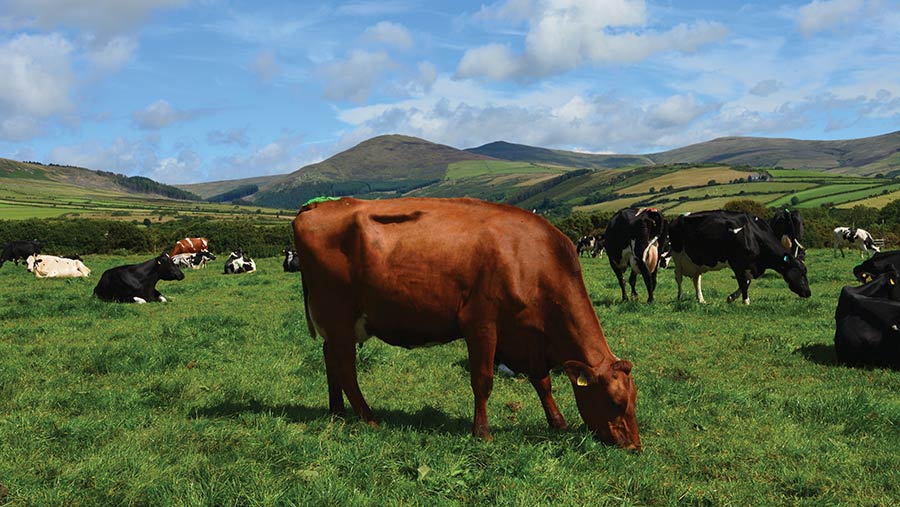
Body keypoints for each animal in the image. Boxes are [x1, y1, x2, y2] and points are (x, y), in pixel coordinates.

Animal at [294, 196, 640, 450]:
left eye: (635, 398)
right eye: (615, 401)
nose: (634, 446)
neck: (530, 258)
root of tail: (318, 207)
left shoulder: (527, 335)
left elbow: (542, 381)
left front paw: (557, 422)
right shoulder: (481, 324)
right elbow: (483, 381)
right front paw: (482, 432)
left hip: (337, 325)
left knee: (331, 359)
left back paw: (338, 412)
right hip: (339, 315)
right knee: (345, 366)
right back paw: (367, 417)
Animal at [668, 210, 808, 306]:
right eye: (801, 273)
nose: (808, 292)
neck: (752, 235)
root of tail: (677, 219)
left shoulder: (750, 265)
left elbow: (747, 281)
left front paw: (731, 298)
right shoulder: (737, 263)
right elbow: (743, 282)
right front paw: (746, 301)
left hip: (696, 262)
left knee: (696, 279)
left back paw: (701, 299)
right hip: (677, 256)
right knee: (678, 277)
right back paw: (680, 297)